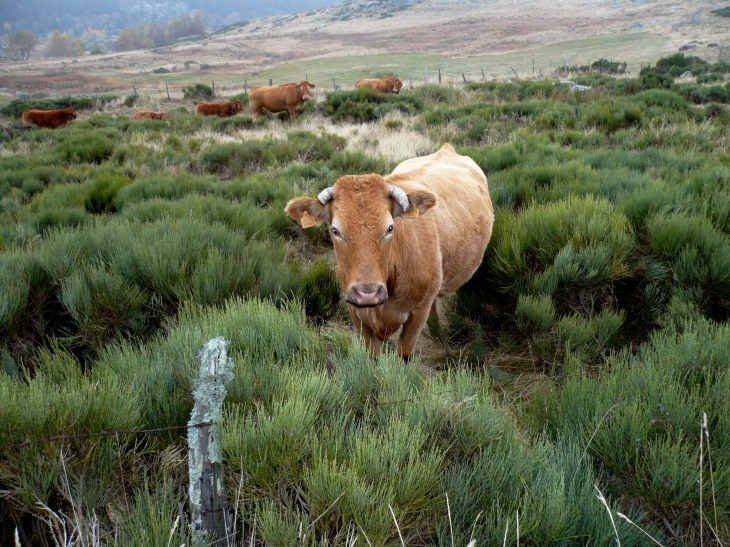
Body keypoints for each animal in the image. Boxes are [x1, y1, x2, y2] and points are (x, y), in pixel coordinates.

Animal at [284, 143, 494, 362]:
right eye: (335, 230)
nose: (367, 293)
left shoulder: (417, 314)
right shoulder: (356, 313)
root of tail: (446, 148)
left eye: (390, 227)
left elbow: (404, 355)